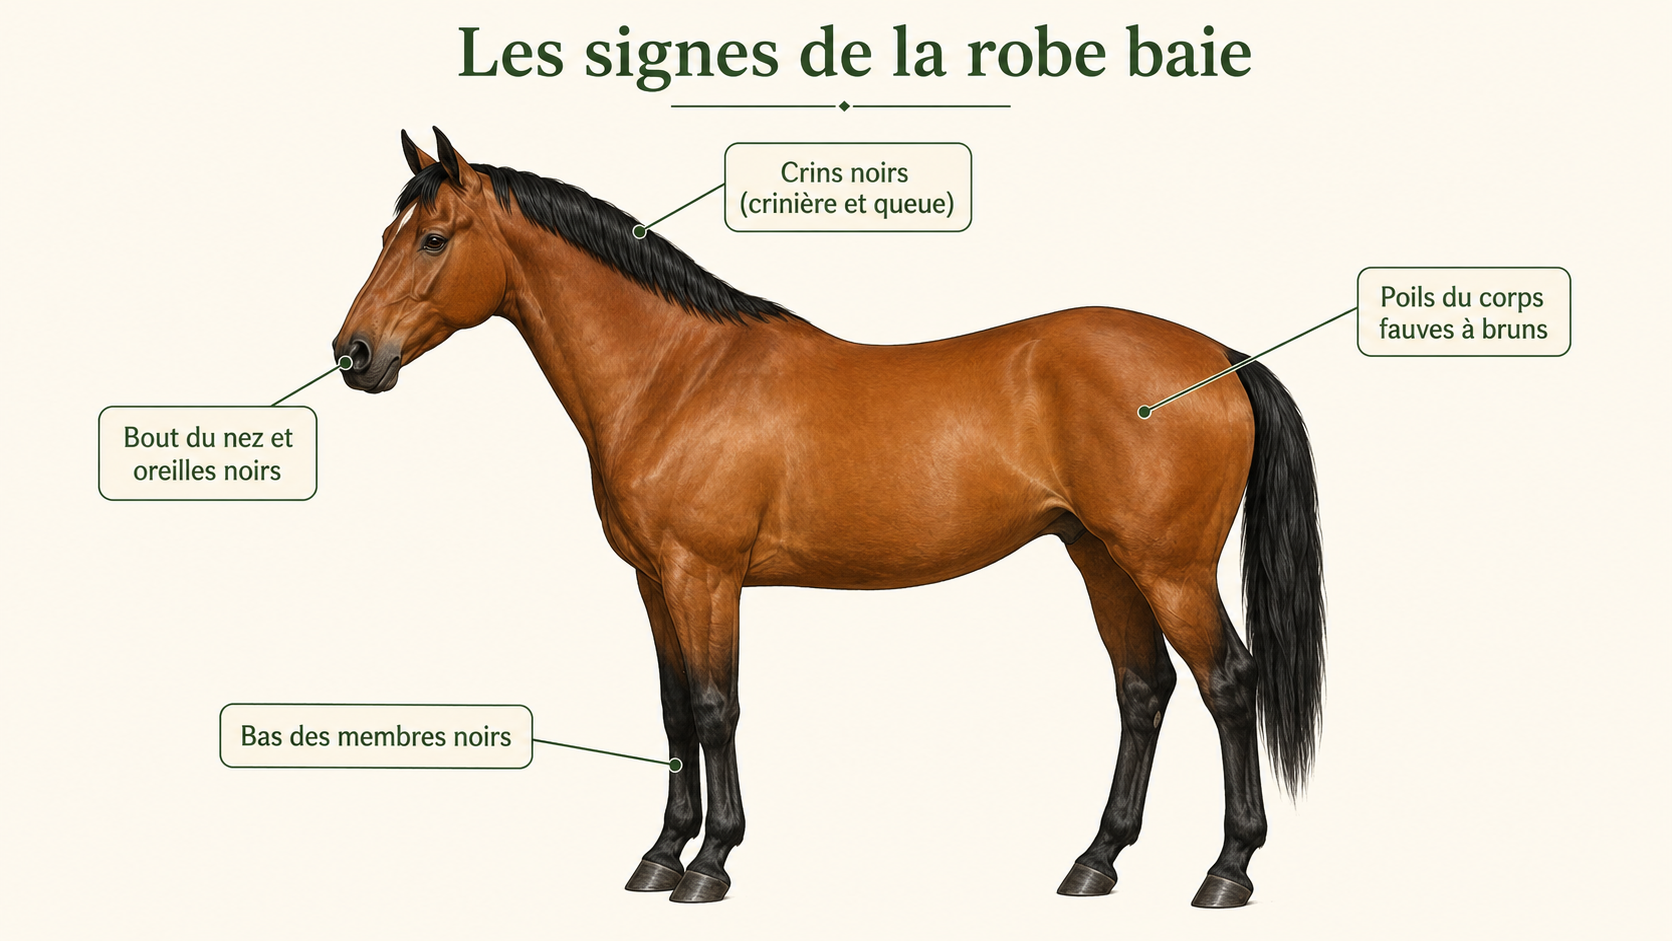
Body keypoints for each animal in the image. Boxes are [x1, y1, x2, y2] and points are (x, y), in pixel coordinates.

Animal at [333, 128, 1325, 907]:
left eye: (432, 238)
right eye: (388, 232)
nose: (353, 353)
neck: (677, 374)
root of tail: (1220, 358)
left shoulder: (706, 576)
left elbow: (715, 707)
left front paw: (711, 863)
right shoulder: (655, 582)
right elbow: (672, 712)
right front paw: (660, 855)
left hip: (1168, 568)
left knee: (1228, 684)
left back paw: (1227, 870)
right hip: (1102, 559)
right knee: (1142, 691)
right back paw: (1095, 861)